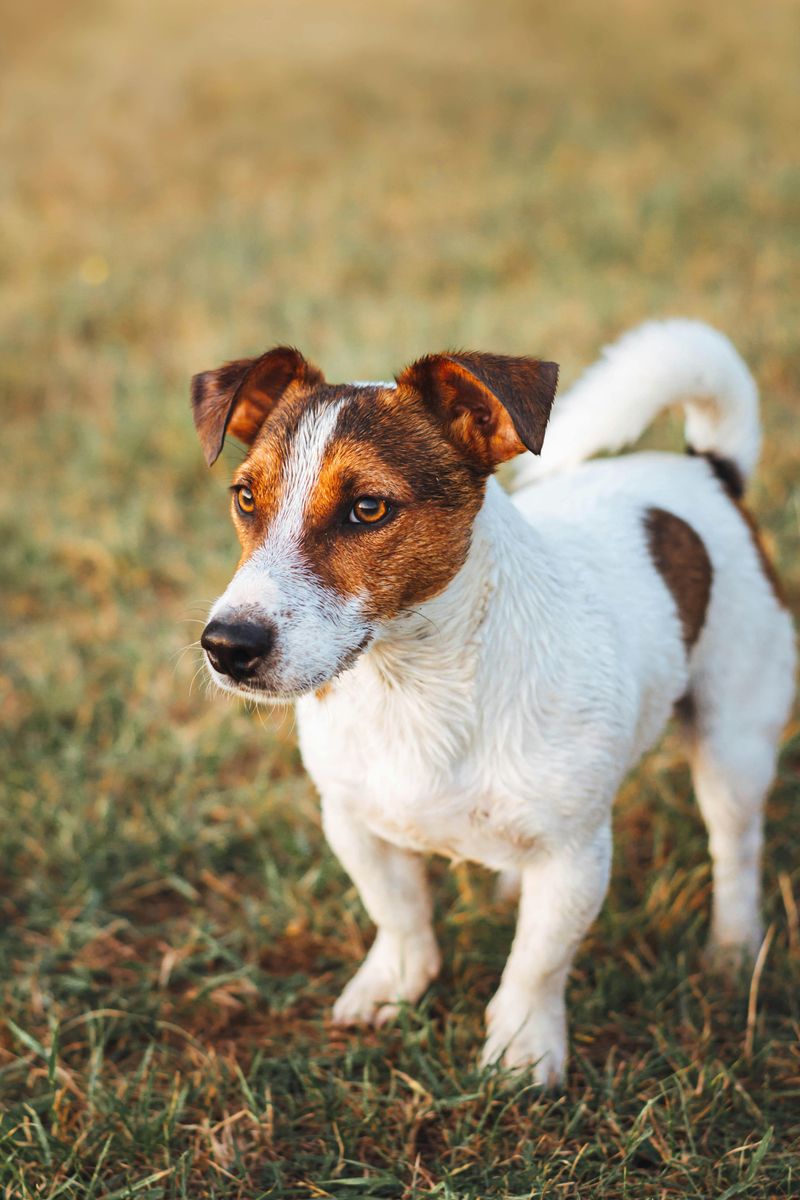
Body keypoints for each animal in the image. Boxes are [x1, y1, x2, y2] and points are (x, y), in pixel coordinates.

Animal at [191, 321, 796, 1089]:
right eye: (245, 497)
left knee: (735, 849)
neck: (412, 684)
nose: (226, 646)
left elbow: (538, 962)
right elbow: (399, 914)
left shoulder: (574, 856)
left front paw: (521, 1049)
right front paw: (394, 983)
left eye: (369, 509)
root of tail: (708, 471)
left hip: (734, 740)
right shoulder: (353, 822)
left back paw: (733, 948)